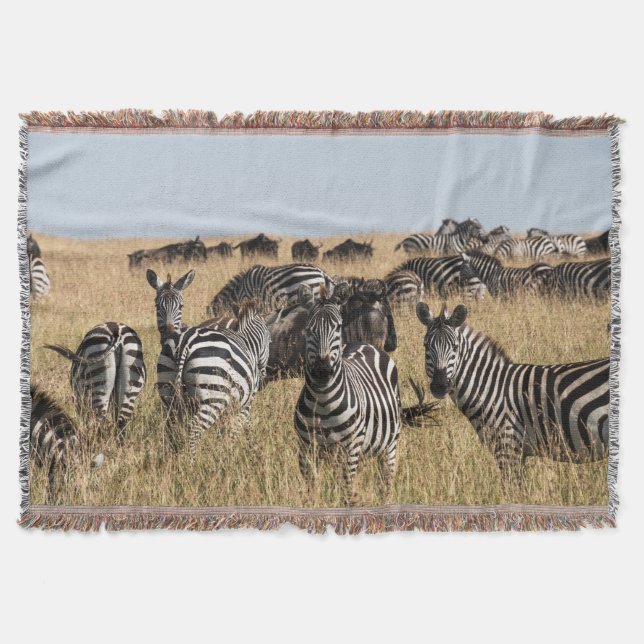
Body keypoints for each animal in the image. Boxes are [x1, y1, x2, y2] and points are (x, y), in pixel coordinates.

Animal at [157, 300, 271, 454]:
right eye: (270, 341)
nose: (263, 378)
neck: (246, 342)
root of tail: (185, 342)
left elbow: (225, 431)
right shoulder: (245, 403)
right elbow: (237, 428)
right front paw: (231, 452)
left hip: (168, 395)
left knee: (170, 428)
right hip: (214, 397)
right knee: (194, 429)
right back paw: (192, 459)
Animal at [416, 303, 609, 479]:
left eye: (455, 347)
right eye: (425, 346)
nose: (440, 385)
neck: (491, 388)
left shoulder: (508, 446)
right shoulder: (516, 451)